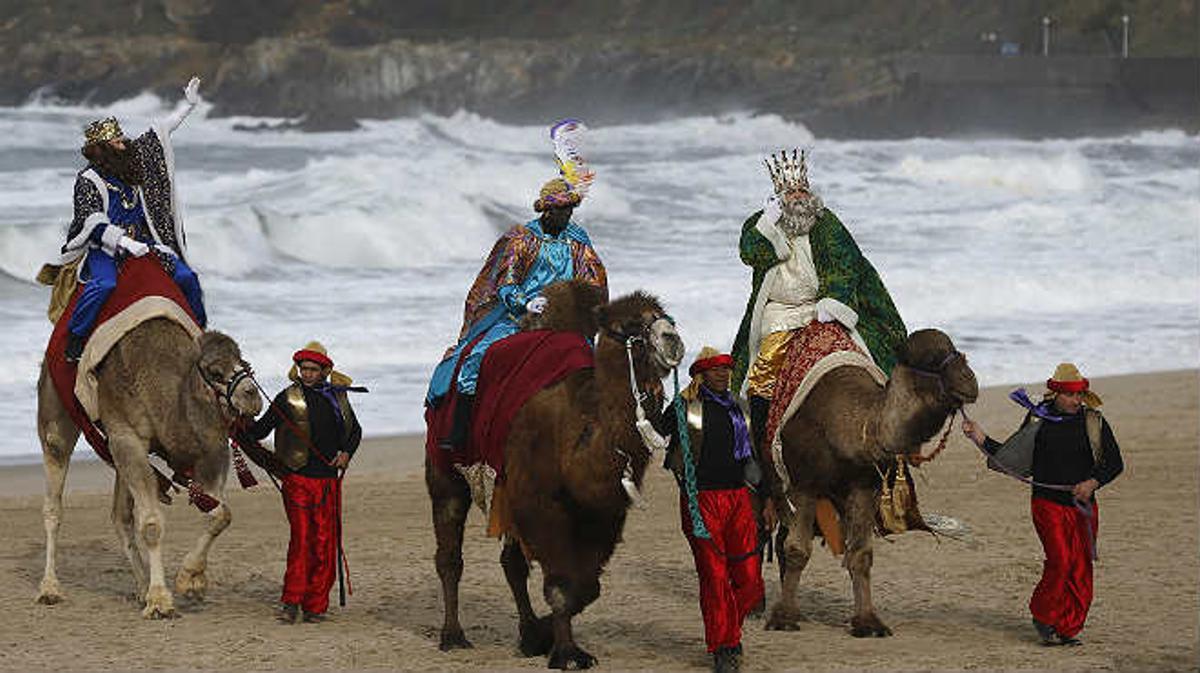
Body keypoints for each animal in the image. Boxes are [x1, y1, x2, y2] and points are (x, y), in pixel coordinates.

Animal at [35, 316, 262, 619]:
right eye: (215, 372)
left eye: (244, 363)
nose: (253, 396)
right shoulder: (127, 435)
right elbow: (153, 523)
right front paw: (160, 601)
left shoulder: (210, 450)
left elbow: (221, 514)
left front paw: (190, 579)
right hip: (56, 409)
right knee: (54, 495)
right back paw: (50, 588)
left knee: (120, 515)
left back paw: (141, 587)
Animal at [427, 278, 686, 667]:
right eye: (629, 326)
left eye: (664, 316)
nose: (672, 339)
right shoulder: (541, 504)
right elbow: (562, 587)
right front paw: (566, 653)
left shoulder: (603, 515)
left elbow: (586, 587)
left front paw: (543, 635)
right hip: (445, 471)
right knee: (450, 554)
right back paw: (453, 636)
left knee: (512, 562)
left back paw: (527, 632)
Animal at [763, 328, 979, 638]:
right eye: (929, 360)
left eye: (954, 349)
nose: (970, 380)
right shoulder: (805, 483)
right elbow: (797, 549)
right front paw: (783, 618)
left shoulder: (864, 486)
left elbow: (861, 553)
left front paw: (868, 622)